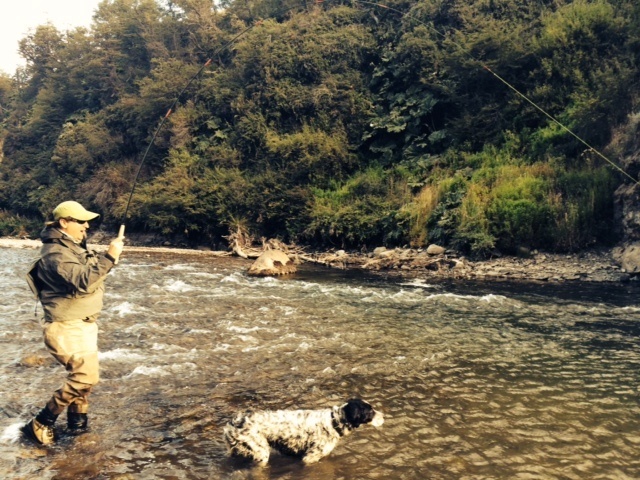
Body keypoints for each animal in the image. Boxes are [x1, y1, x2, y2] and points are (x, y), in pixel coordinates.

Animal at [224, 398, 384, 464]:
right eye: (370, 411)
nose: (384, 416)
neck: (333, 422)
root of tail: (234, 422)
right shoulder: (309, 457)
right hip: (261, 453)